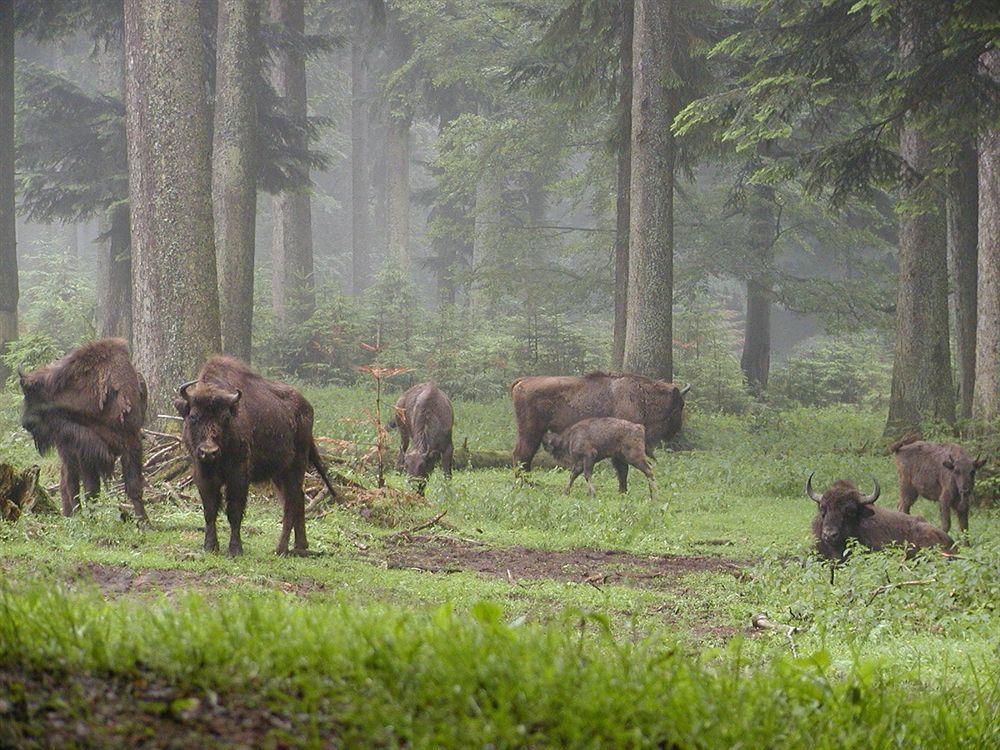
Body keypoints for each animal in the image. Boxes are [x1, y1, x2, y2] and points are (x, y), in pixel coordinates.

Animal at [17, 340, 147, 524]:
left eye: (29, 396)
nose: (24, 422)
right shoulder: (85, 451)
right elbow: (90, 490)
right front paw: (91, 521)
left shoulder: (131, 440)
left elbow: (134, 486)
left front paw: (144, 522)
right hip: (67, 452)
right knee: (69, 483)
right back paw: (72, 514)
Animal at [175, 358, 340, 560]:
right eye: (193, 416)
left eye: (226, 417)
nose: (209, 451)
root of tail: (307, 407)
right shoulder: (202, 474)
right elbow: (210, 510)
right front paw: (210, 547)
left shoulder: (238, 474)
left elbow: (234, 511)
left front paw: (235, 549)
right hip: (279, 473)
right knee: (297, 499)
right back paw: (300, 546)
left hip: (296, 466)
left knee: (291, 502)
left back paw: (280, 548)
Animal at [508, 374, 688, 490]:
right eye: (680, 405)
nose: (677, 429)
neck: (640, 395)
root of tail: (522, 381)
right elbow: (622, 469)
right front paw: (623, 490)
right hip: (530, 432)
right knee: (521, 455)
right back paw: (525, 485)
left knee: (525, 457)